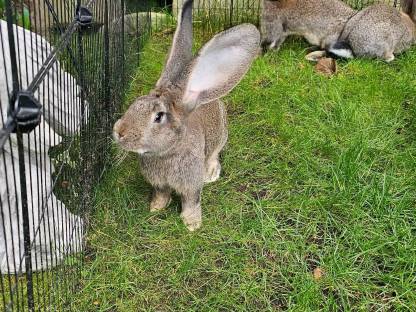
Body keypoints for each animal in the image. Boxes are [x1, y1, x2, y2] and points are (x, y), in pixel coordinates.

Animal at [112, 0, 258, 232]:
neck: (167, 152)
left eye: (158, 117)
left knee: (214, 154)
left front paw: (192, 224)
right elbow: (162, 194)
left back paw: (211, 172)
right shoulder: (159, 184)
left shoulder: (191, 185)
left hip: (220, 137)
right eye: (135, 103)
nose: (119, 132)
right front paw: (155, 208)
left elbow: (191, 201)